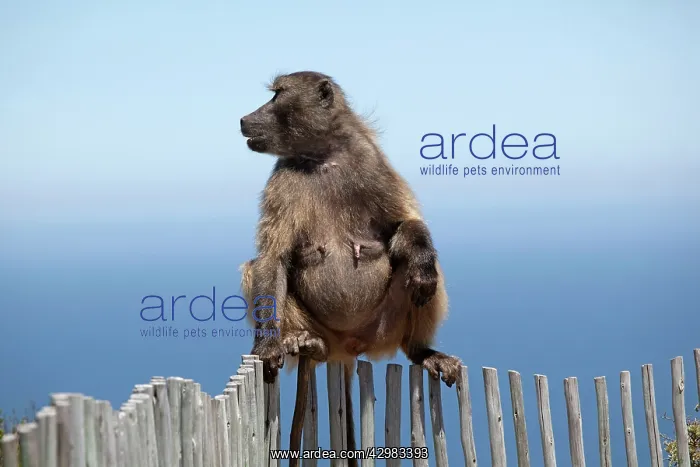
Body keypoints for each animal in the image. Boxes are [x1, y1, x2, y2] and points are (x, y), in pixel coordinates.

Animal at [238, 71, 462, 463]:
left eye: (277, 95)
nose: (244, 119)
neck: (324, 157)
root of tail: (347, 347)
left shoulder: (370, 162)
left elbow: (405, 225)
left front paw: (420, 264)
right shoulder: (281, 179)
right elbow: (271, 259)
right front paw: (267, 346)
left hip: (384, 328)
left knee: (422, 274)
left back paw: (423, 350)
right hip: (327, 331)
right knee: (255, 268)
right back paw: (301, 341)